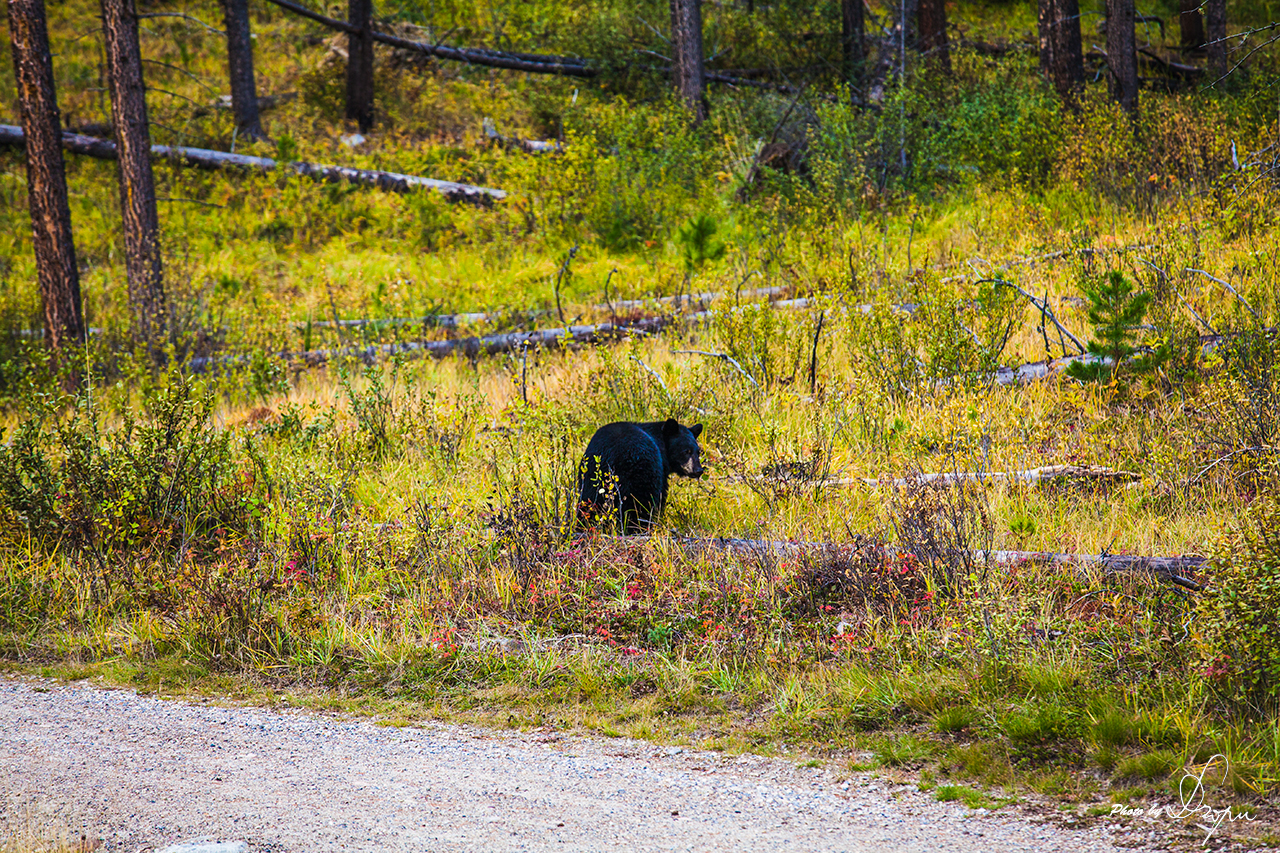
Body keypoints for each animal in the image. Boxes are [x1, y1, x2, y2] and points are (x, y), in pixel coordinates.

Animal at [578, 417, 706, 532]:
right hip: (641, 476)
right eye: (686, 451)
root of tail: (611, 458)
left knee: (589, 504)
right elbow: (661, 495)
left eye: (698, 451)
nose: (698, 470)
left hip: (592, 477)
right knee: (640, 506)